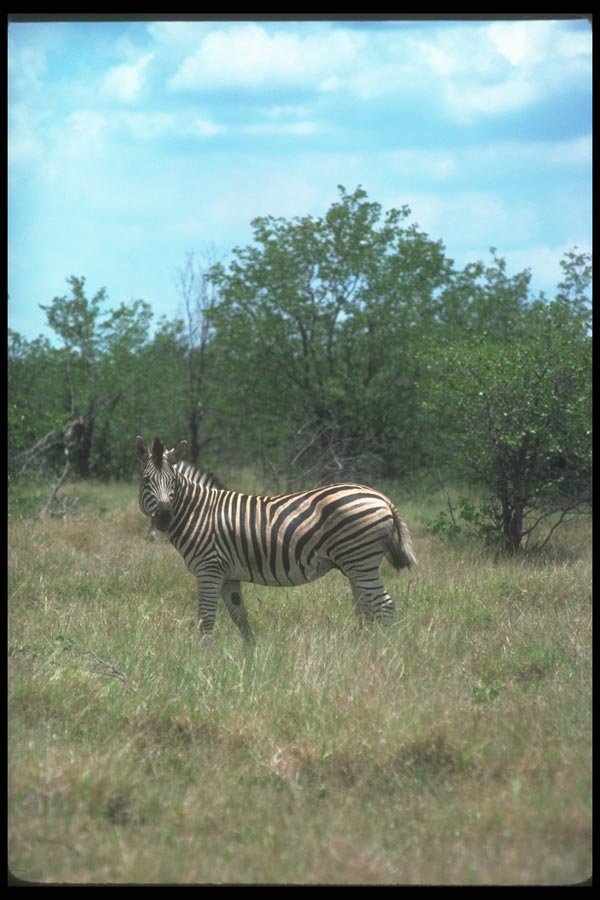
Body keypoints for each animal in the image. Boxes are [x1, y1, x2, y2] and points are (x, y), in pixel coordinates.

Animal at [135, 435, 416, 644]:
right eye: (146, 480)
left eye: (172, 481)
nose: (163, 517)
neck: (200, 512)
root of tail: (380, 496)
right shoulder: (228, 576)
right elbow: (240, 617)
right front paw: (250, 656)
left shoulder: (209, 570)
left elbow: (206, 619)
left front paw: (204, 660)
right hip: (355, 565)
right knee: (366, 609)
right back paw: (362, 647)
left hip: (361, 561)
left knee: (384, 607)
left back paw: (381, 649)